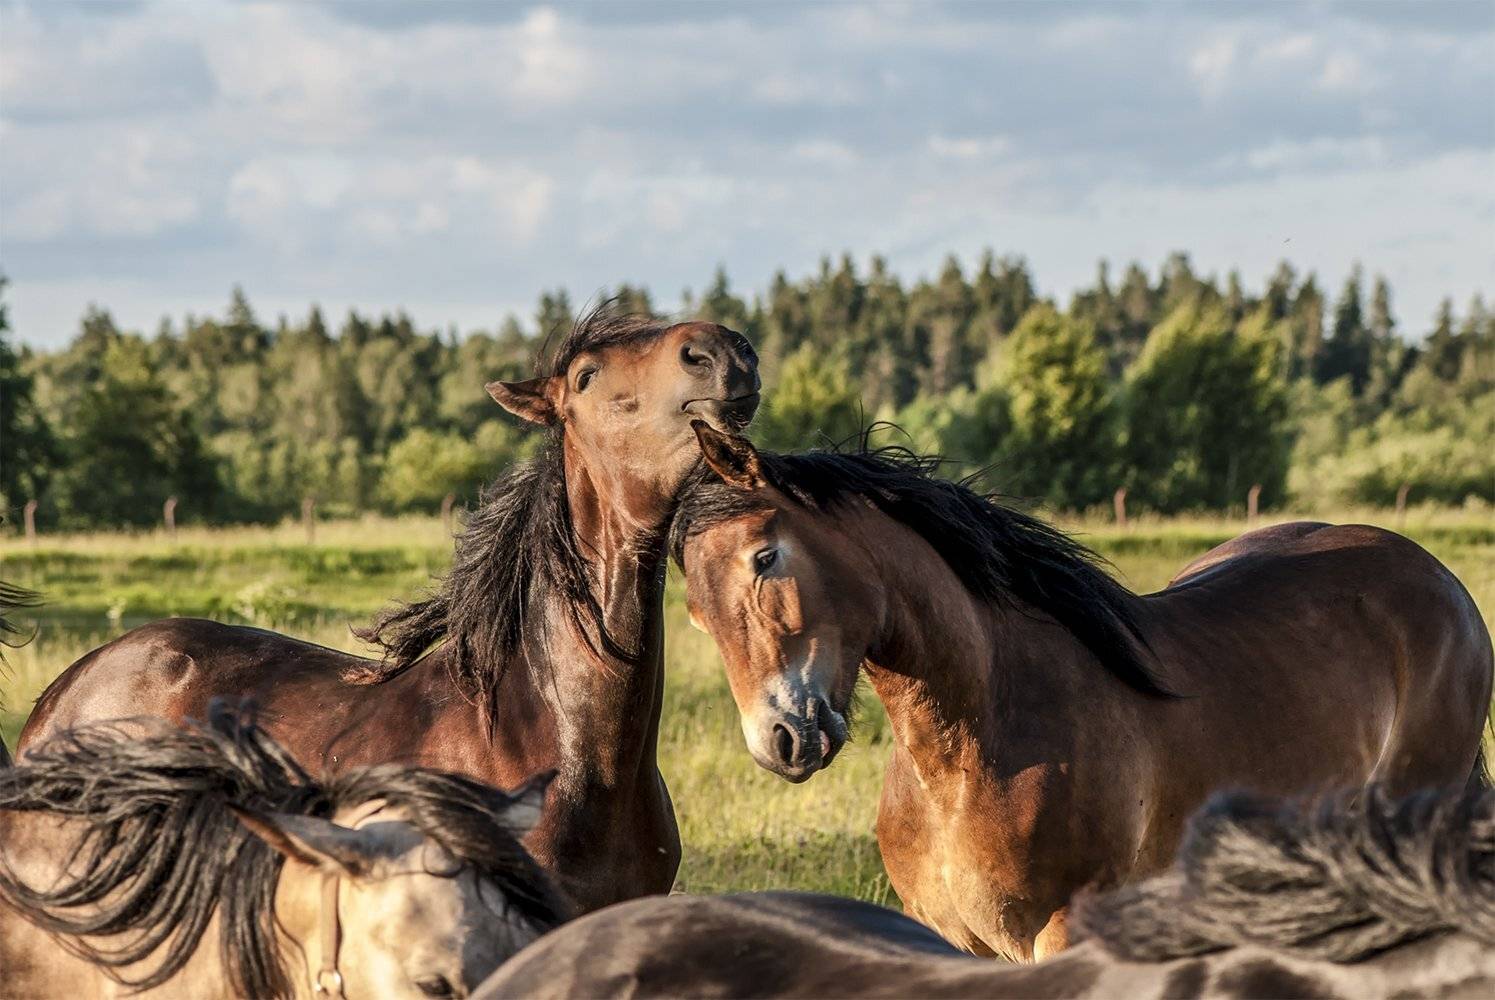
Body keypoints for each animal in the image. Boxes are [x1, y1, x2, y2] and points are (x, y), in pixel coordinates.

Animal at [668, 423, 1493, 960]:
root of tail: (1438, 579)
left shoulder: (1065, 929)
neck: (969, 746)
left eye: (765, 558)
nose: (781, 740)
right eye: (694, 611)